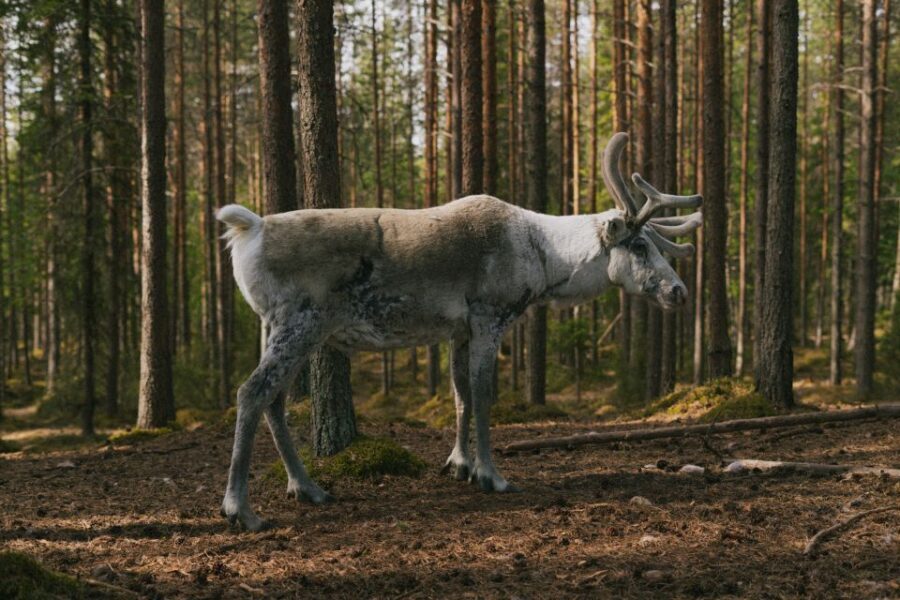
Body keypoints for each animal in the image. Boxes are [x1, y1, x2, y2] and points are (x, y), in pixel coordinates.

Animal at [216, 132, 702, 530]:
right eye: (639, 245)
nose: (679, 292)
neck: (545, 257)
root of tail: (250, 230)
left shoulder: (458, 329)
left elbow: (460, 394)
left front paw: (460, 464)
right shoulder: (490, 315)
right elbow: (484, 395)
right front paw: (492, 475)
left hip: (280, 328)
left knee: (274, 400)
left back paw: (307, 488)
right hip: (298, 323)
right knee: (251, 392)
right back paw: (241, 508)